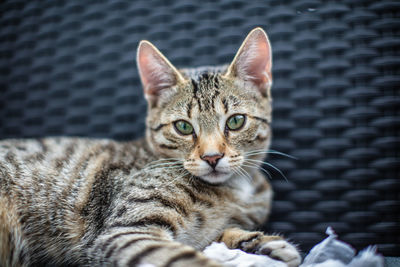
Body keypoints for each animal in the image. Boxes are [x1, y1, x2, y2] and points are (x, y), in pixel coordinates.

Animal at [0, 28, 300, 266]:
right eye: (183, 127)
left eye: (236, 121)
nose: (212, 157)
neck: (235, 190)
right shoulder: (123, 233)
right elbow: (185, 258)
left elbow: (221, 234)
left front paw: (262, 243)